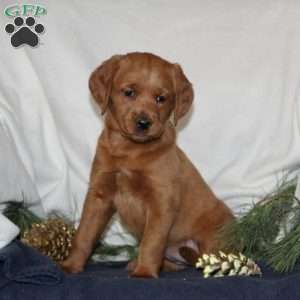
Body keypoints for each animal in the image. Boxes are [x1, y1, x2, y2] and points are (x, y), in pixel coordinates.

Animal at [61, 52, 234, 278]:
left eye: (161, 98)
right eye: (129, 92)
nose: (144, 123)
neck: (129, 151)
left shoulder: (161, 201)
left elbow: (151, 242)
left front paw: (144, 272)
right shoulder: (98, 195)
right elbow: (84, 234)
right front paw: (71, 265)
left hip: (213, 235)